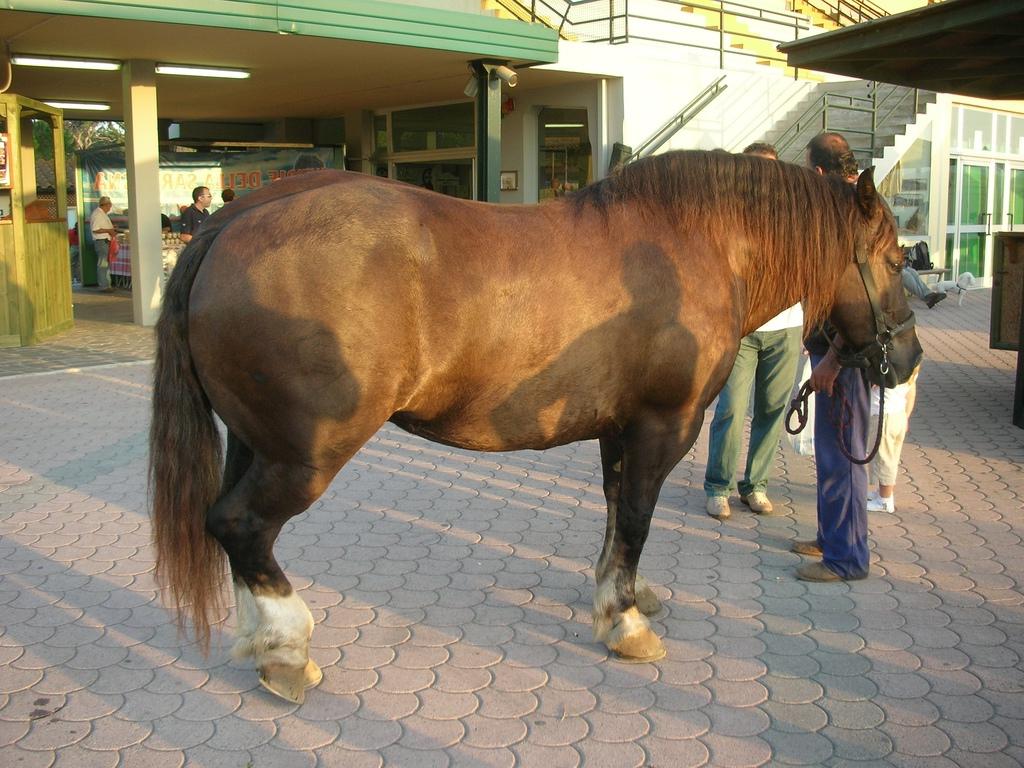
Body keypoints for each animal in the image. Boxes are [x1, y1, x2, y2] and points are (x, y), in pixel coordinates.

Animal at [148, 148, 925, 704]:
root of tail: (231, 224)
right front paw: (626, 624)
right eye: (894, 259)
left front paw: (621, 596)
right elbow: (636, 519)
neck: (692, 248)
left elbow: (617, 517)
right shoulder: (662, 427)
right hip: (307, 454)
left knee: (233, 530)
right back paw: (287, 650)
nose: (908, 356)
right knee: (240, 526)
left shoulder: (619, 430)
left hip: (255, 442)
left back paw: (261, 643)